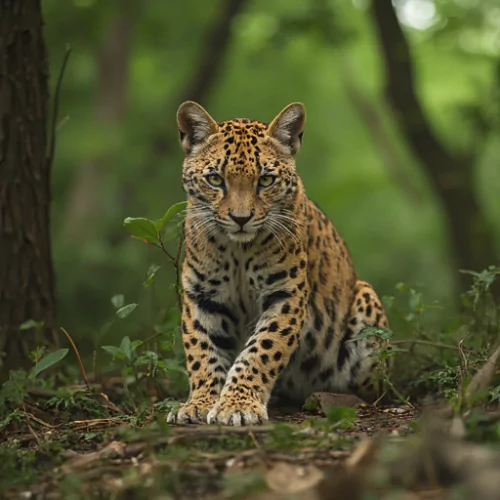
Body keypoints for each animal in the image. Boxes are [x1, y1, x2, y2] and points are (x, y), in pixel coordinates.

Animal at [168, 100, 390, 426]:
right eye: (215, 179)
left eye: (265, 180)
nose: (241, 218)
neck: (238, 252)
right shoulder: (203, 296)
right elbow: (203, 351)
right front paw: (200, 402)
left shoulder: (286, 295)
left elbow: (261, 349)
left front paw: (237, 405)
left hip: (365, 299)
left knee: (370, 390)